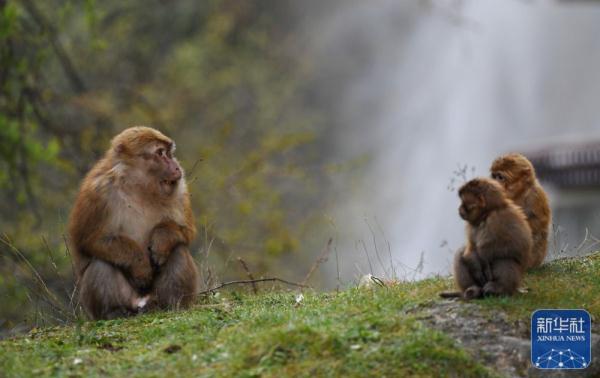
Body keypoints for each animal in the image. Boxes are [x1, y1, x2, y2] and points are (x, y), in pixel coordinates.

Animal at [68, 126, 199, 318]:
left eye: (169, 153)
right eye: (160, 153)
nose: (176, 166)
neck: (139, 187)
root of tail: (140, 303)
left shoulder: (180, 190)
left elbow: (186, 231)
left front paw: (161, 238)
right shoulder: (97, 192)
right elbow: (87, 240)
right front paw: (139, 264)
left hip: (153, 295)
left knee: (178, 250)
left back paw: (169, 305)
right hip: (123, 299)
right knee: (101, 262)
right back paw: (114, 311)